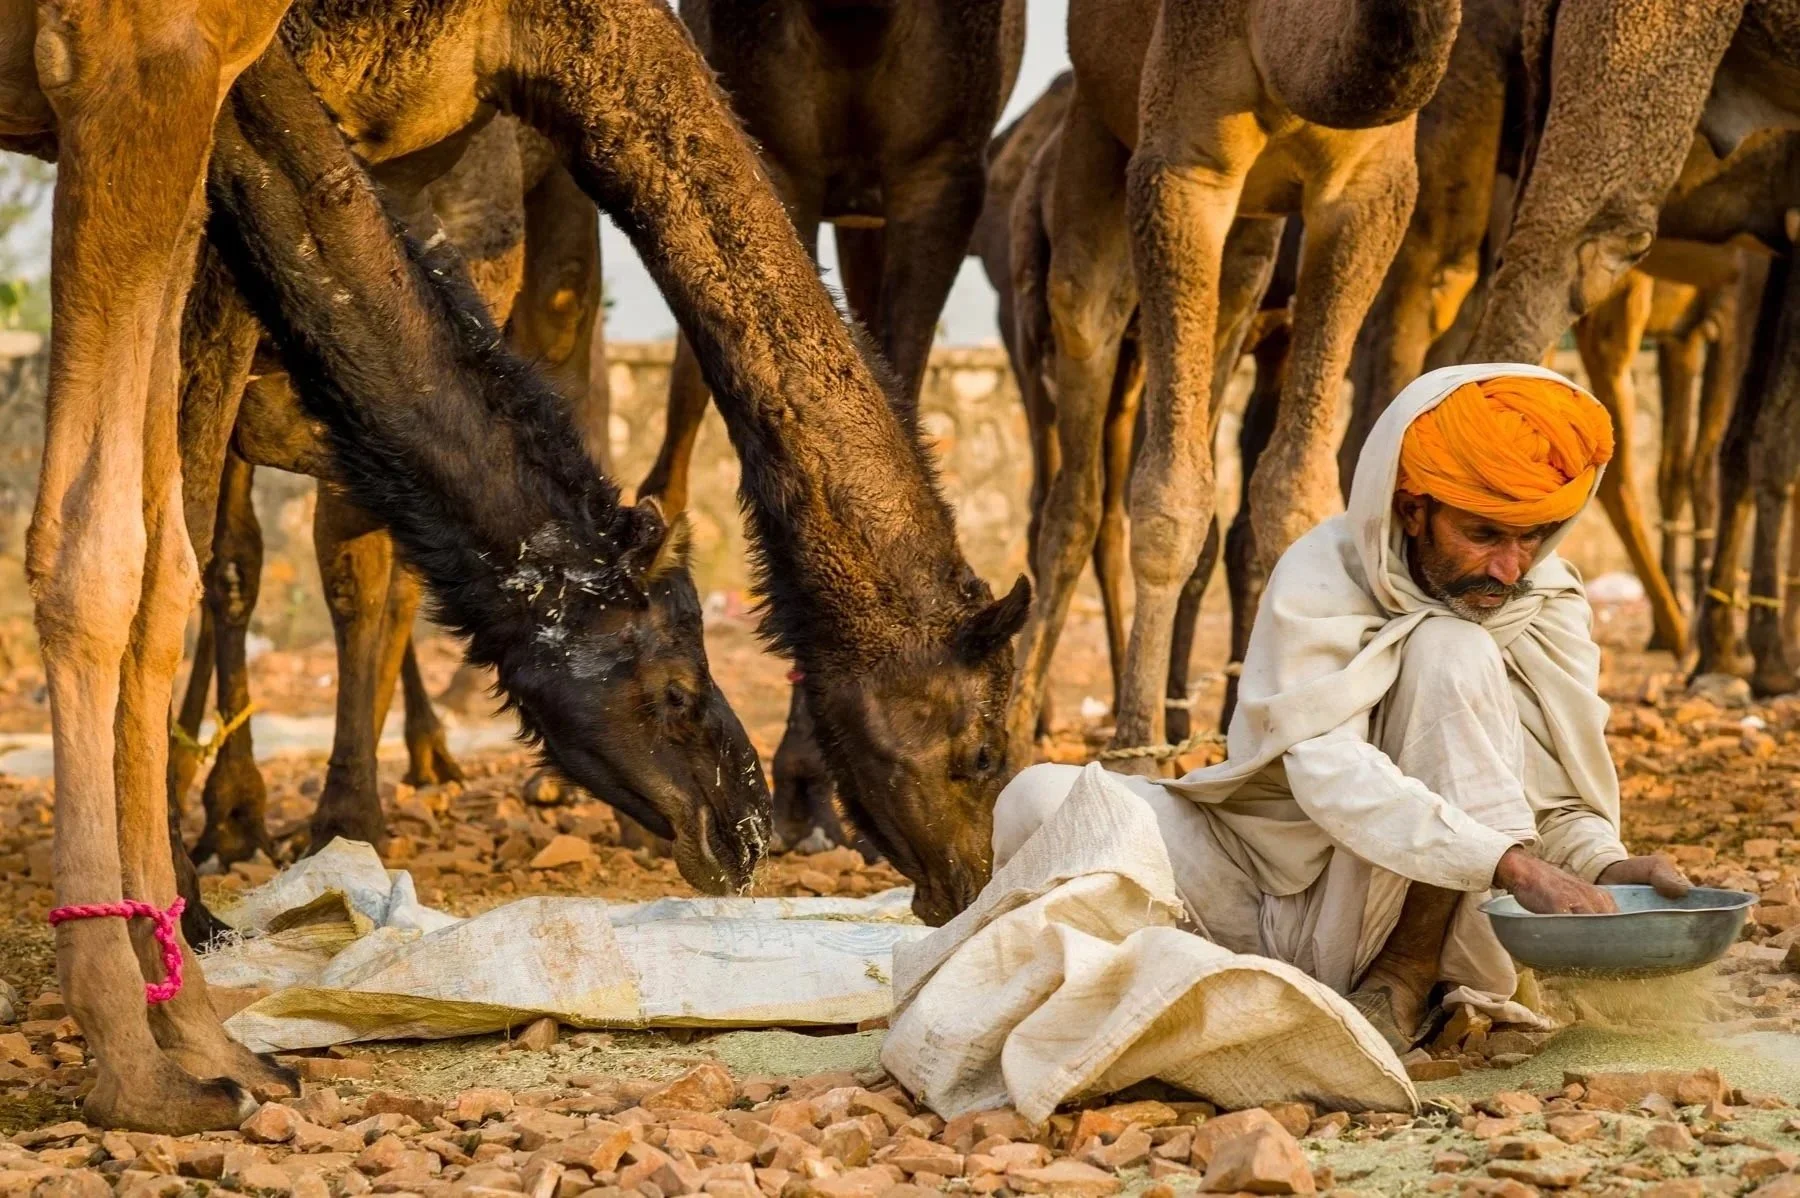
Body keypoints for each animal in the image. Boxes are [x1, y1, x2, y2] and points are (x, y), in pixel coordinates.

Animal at [1004, 0, 1460, 769]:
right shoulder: (1180, 159)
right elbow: (1166, 501)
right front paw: (1136, 748)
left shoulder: (1373, 185)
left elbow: (1294, 491)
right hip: (1092, 149)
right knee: (1076, 477)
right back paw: (1017, 727)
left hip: (1251, 242)